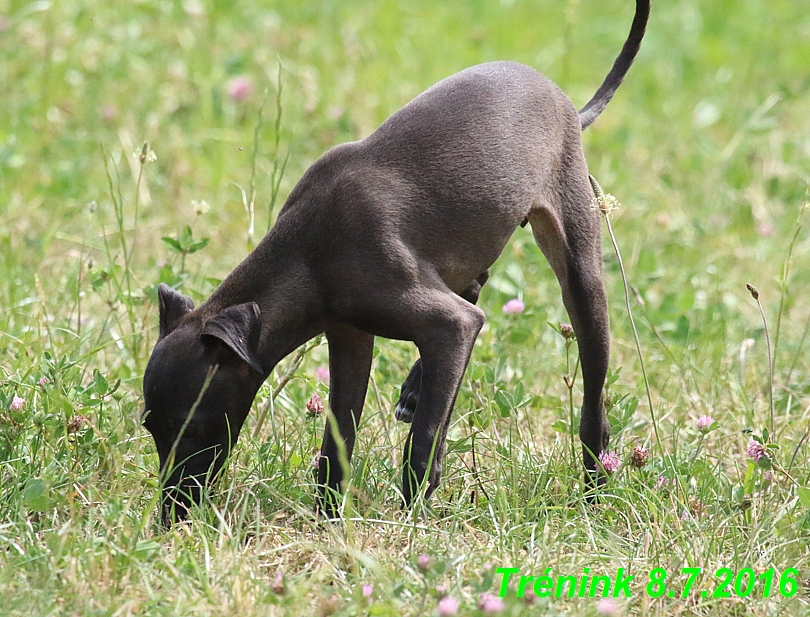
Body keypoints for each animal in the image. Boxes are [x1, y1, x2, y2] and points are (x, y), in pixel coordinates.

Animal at [144, 0, 652, 524]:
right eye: (150, 428)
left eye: (191, 426)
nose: (170, 514)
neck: (310, 252)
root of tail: (567, 102)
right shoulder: (350, 335)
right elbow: (337, 443)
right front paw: (329, 518)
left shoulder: (443, 322)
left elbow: (423, 441)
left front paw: (410, 518)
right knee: (473, 292)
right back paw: (416, 388)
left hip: (578, 266)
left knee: (590, 395)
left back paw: (594, 483)